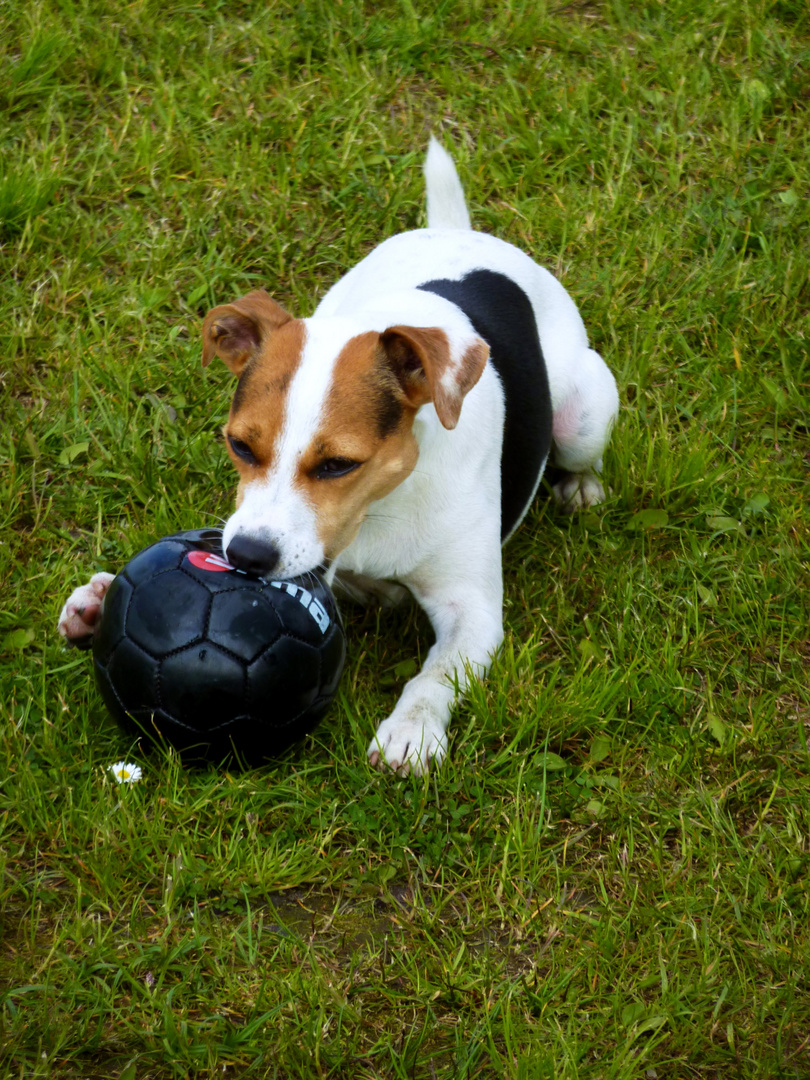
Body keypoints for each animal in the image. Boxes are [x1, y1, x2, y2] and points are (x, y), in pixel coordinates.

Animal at [60, 141, 622, 777]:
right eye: (240, 446)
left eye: (338, 465)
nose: (247, 558)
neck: (382, 507)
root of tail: (459, 233)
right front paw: (101, 596)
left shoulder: (472, 611)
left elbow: (434, 677)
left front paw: (411, 730)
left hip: (584, 411)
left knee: (580, 446)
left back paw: (581, 486)